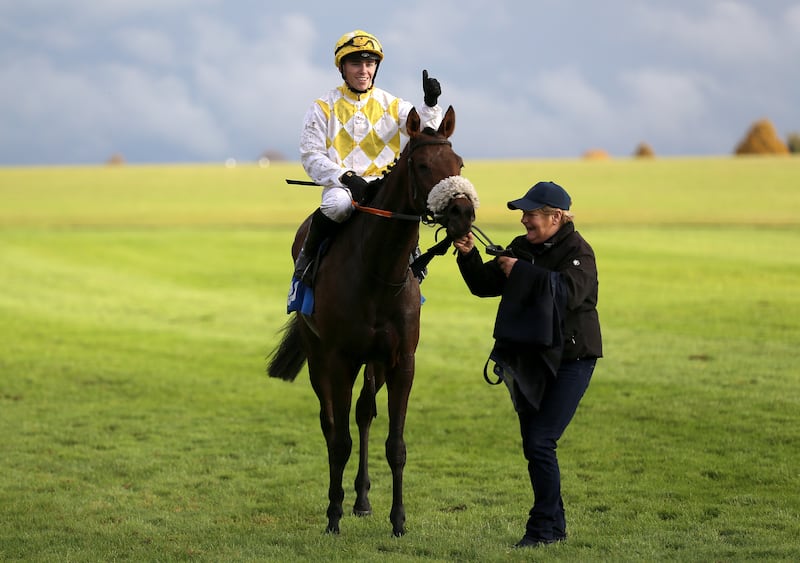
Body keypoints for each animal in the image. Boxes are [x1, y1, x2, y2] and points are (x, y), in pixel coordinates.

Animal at [268, 107, 476, 536]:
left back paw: (362, 499)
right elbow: (340, 440)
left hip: (375, 363)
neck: (379, 272)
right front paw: (333, 516)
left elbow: (395, 445)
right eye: (423, 165)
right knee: (330, 424)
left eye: (459, 163)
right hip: (319, 356)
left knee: (364, 413)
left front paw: (398, 520)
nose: (463, 213)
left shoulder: (401, 360)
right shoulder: (339, 360)